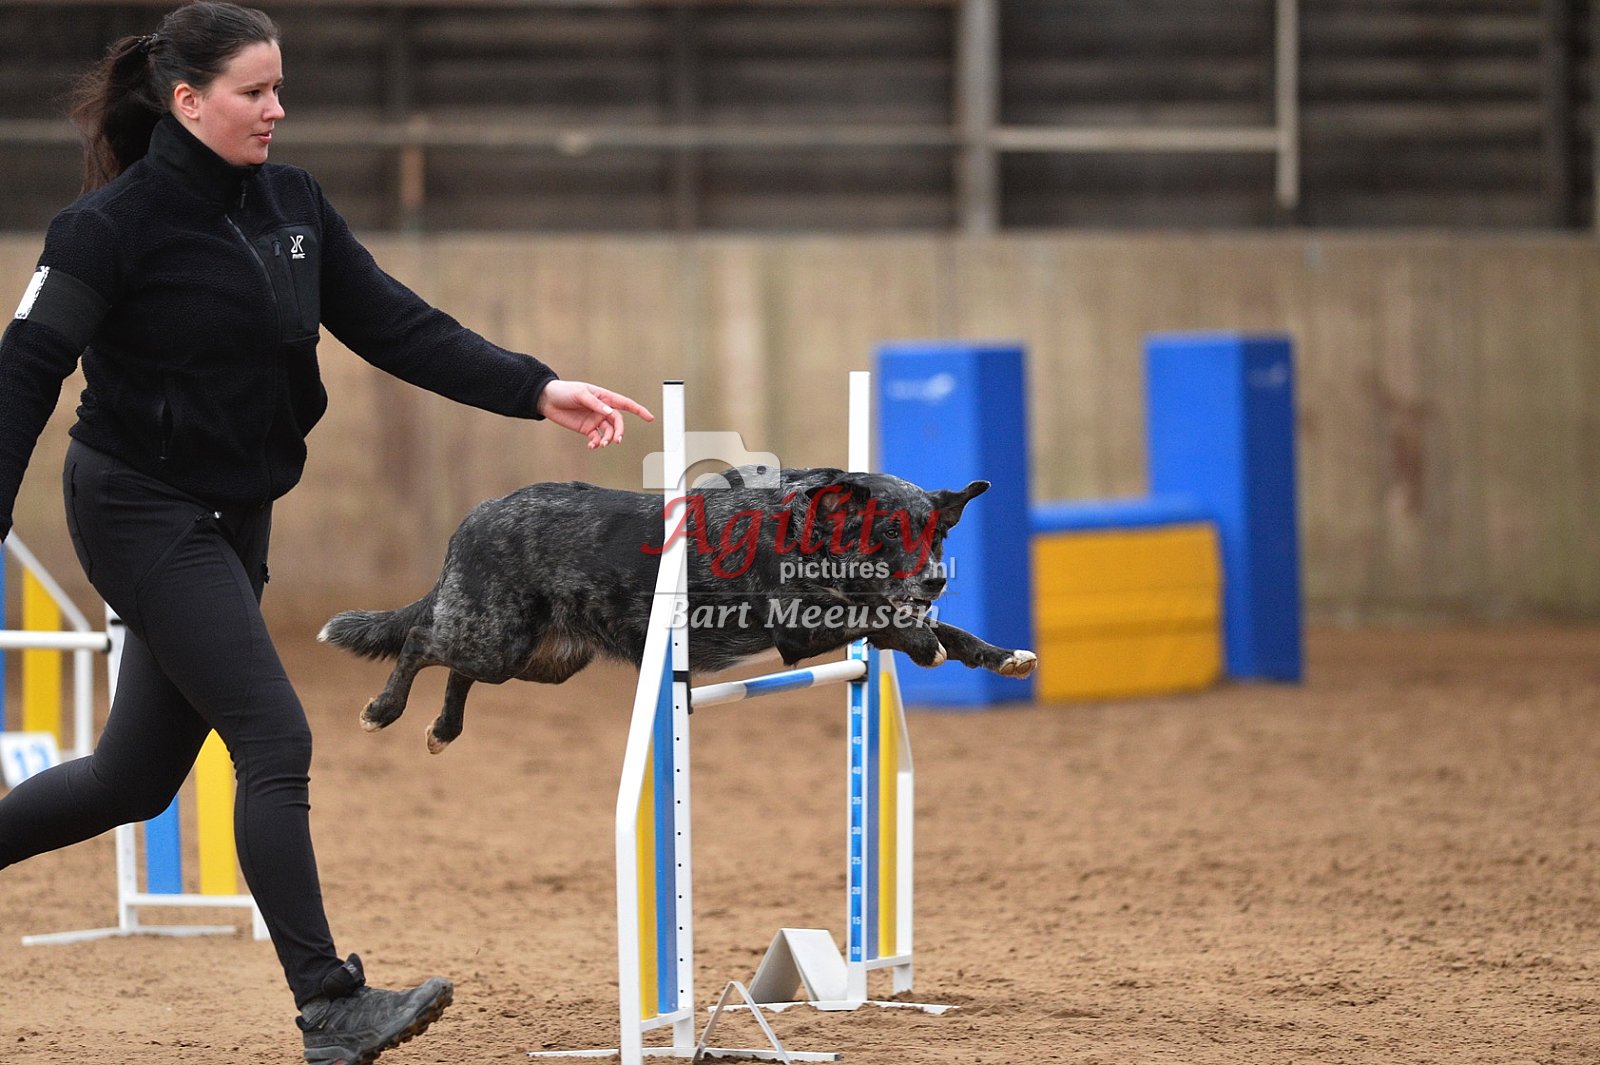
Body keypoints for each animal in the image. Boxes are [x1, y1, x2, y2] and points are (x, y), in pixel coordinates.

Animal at [321, 466, 1037, 752]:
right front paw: (922, 644)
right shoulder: (799, 630)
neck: (805, 531)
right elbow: (891, 622)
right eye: (888, 531)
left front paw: (1001, 655)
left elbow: (950, 630)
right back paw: (382, 710)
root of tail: (473, 517)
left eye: (937, 535)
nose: (936, 580)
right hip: (492, 636)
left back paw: (444, 729)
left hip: (535, 660)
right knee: (420, 639)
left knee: (455, 669)